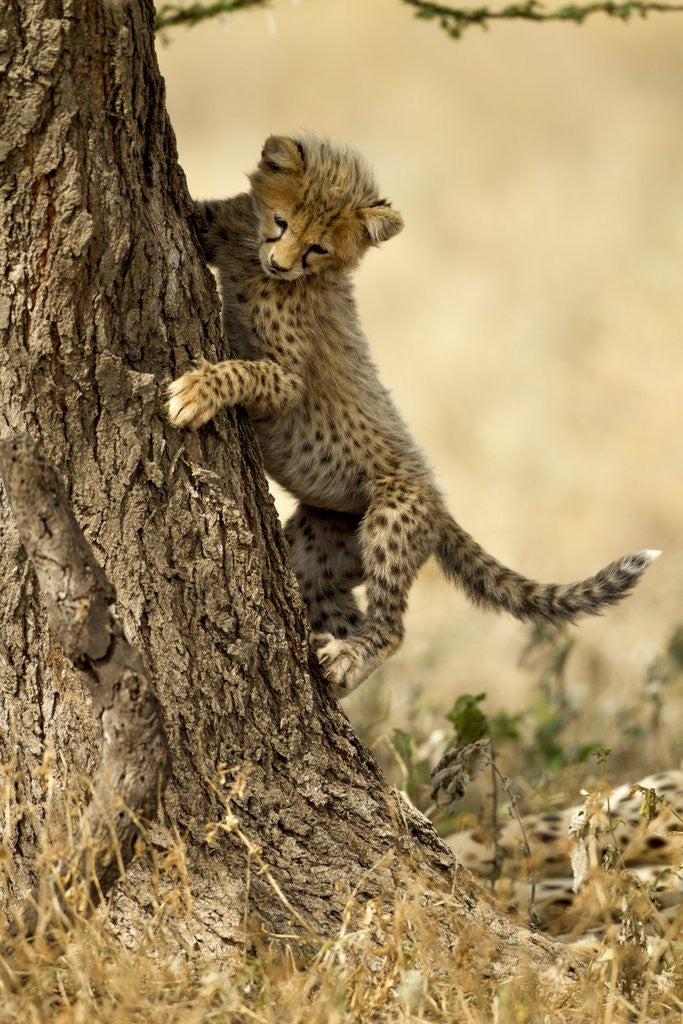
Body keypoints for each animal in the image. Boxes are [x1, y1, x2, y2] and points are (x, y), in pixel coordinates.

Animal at [166, 134, 660, 697]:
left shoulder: (289, 380)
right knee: (342, 608)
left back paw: (345, 662)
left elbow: (246, 372)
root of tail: (440, 506)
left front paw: (195, 393)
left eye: (319, 247)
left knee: (393, 628)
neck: (255, 261)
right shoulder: (222, 224)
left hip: (392, 516)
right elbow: (203, 213)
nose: (282, 265)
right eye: (281, 221)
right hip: (321, 548)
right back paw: (331, 662)